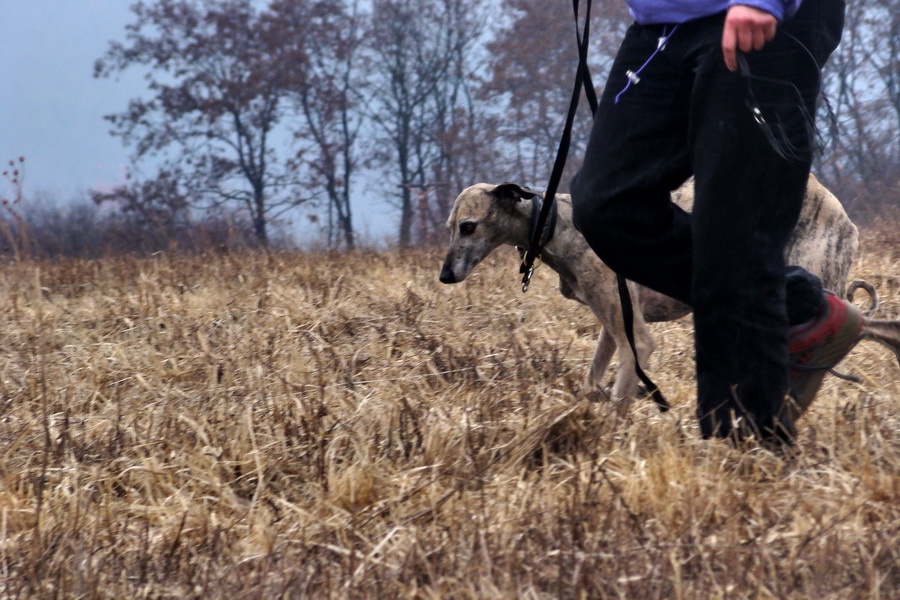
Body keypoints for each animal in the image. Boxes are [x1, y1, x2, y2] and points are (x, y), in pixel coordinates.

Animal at [440, 173, 896, 404]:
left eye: (469, 226)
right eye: (450, 228)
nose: (445, 276)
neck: (559, 222)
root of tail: (837, 208)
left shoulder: (636, 339)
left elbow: (621, 396)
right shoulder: (612, 323)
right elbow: (594, 378)